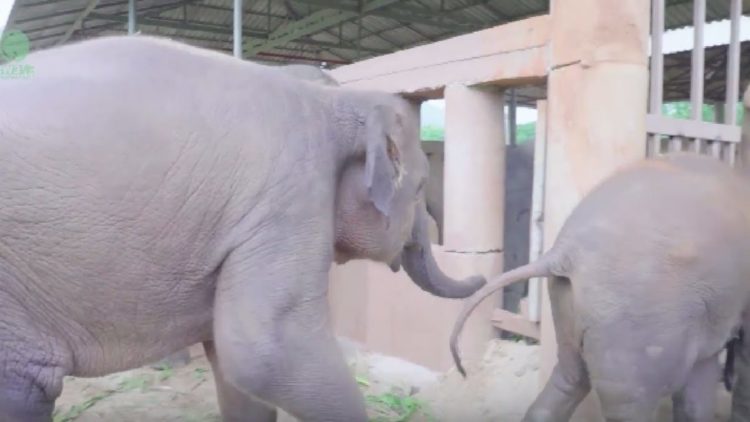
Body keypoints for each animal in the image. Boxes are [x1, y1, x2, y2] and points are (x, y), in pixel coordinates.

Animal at [0, 35, 488, 422]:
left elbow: (233, 364)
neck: (334, 101)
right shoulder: (287, 201)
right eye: (420, 186)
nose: (483, 276)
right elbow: (263, 351)